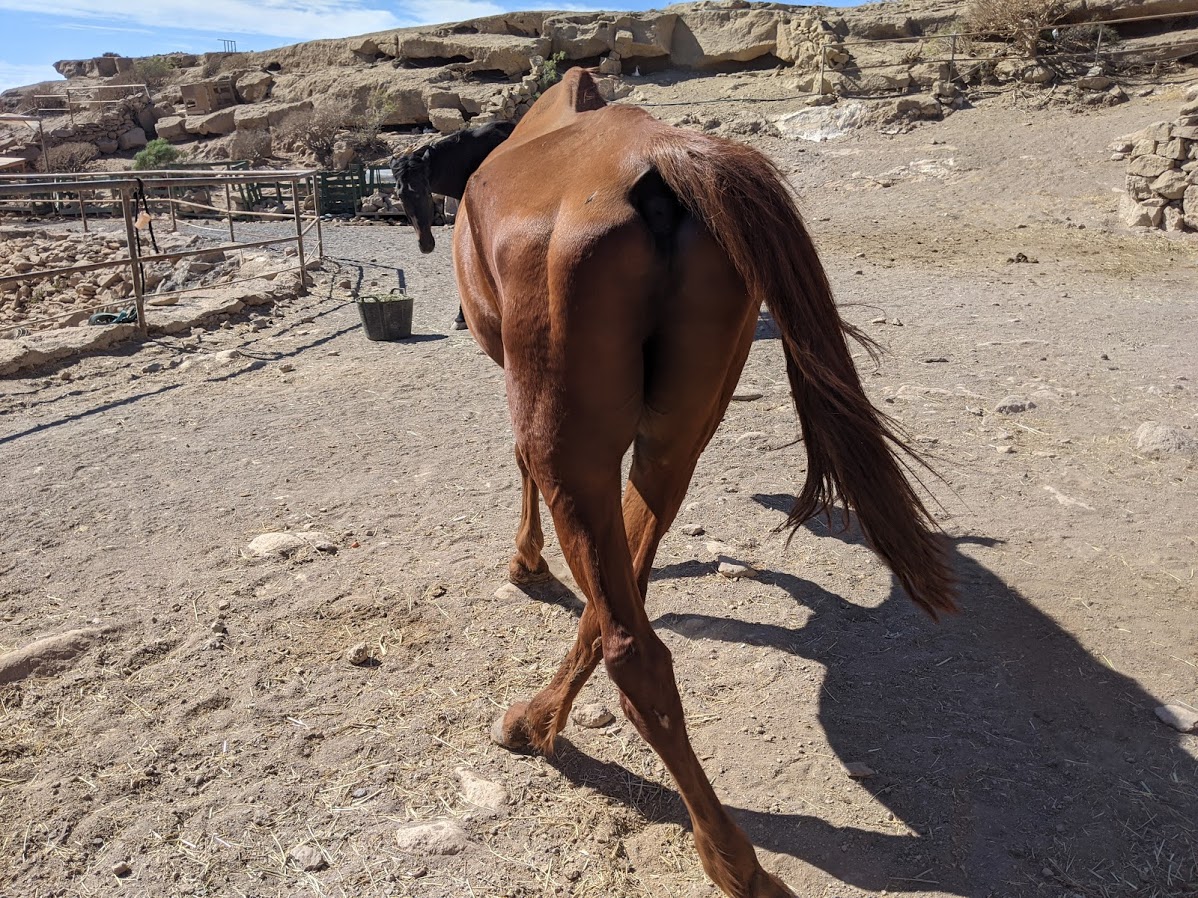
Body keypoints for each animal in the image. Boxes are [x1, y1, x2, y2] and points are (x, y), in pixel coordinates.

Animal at [449, 68, 955, 898]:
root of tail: (663, 160)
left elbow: (520, 470)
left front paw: (524, 563)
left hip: (574, 447)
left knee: (635, 651)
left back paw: (729, 858)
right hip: (677, 437)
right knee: (624, 603)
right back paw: (540, 718)